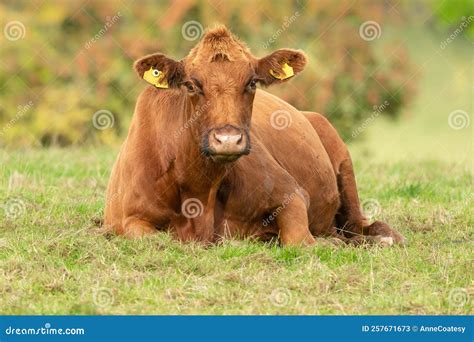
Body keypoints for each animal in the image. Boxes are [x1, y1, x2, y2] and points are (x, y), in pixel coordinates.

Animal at [105, 26, 406, 246]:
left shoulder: (291, 193)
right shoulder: (129, 219)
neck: (197, 191)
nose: (227, 140)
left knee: (360, 226)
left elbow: (300, 240)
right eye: (191, 85)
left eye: (251, 83)